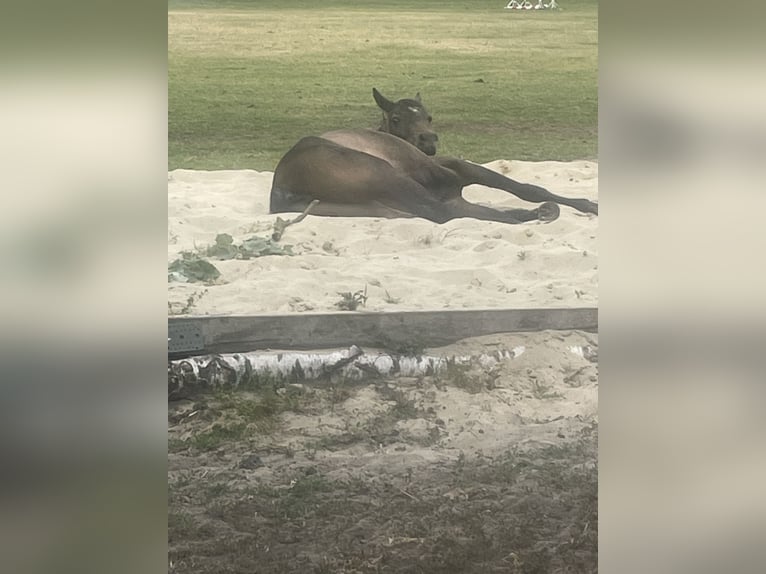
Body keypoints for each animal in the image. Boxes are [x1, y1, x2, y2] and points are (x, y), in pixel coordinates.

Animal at [270, 89, 600, 226]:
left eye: (428, 116)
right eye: (396, 118)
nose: (428, 141)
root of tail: (282, 189)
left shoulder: (455, 181)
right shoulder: (456, 168)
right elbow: (525, 189)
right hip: (384, 173)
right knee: (443, 212)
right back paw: (540, 214)